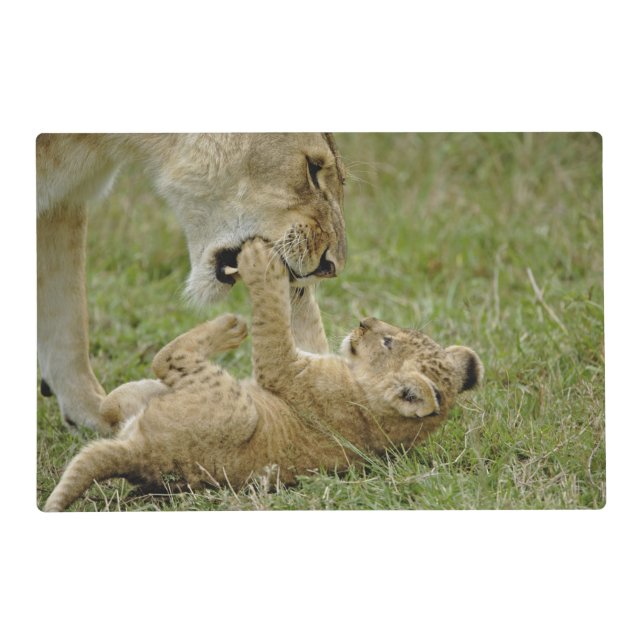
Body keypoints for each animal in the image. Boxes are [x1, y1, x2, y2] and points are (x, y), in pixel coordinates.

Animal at [44, 238, 483, 512]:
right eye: (397, 334)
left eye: (388, 341)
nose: (364, 322)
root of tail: (144, 456)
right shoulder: (312, 354)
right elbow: (303, 323)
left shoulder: (285, 369)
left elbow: (272, 323)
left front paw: (261, 263)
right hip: (143, 398)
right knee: (111, 407)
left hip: (237, 410)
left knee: (167, 359)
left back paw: (230, 327)